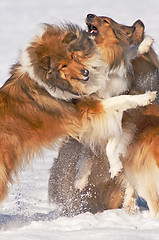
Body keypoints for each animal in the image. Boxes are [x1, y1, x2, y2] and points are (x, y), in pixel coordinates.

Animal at [0, 22, 154, 202]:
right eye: (63, 66)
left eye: (73, 56)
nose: (86, 73)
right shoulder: (88, 108)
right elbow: (121, 99)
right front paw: (146, 97)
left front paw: (144, 45)